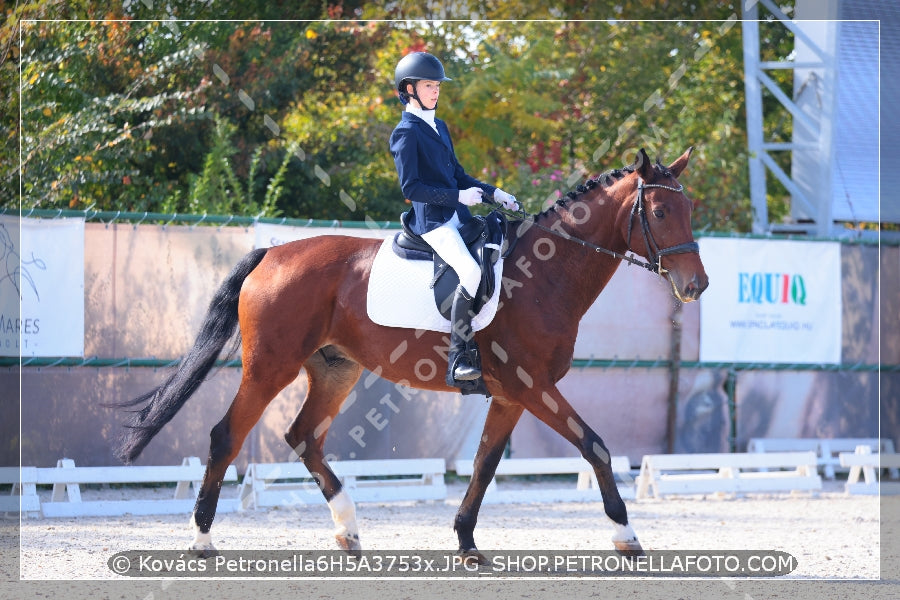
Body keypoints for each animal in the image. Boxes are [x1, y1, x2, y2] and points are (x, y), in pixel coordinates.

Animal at [107, 148, 712, 560]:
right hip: (268, 367)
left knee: (303, 436)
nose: (697, 286)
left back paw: (349, 530)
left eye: (688, 209)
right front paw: (626, 536)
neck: (545, 273)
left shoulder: (511, 396)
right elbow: (596, 446)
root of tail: (272, 253)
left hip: (335, 369)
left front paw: (466, 542)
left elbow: (484, 464)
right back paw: (203, 539)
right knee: (225, 437)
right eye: (660, 213)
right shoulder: (533, 386)